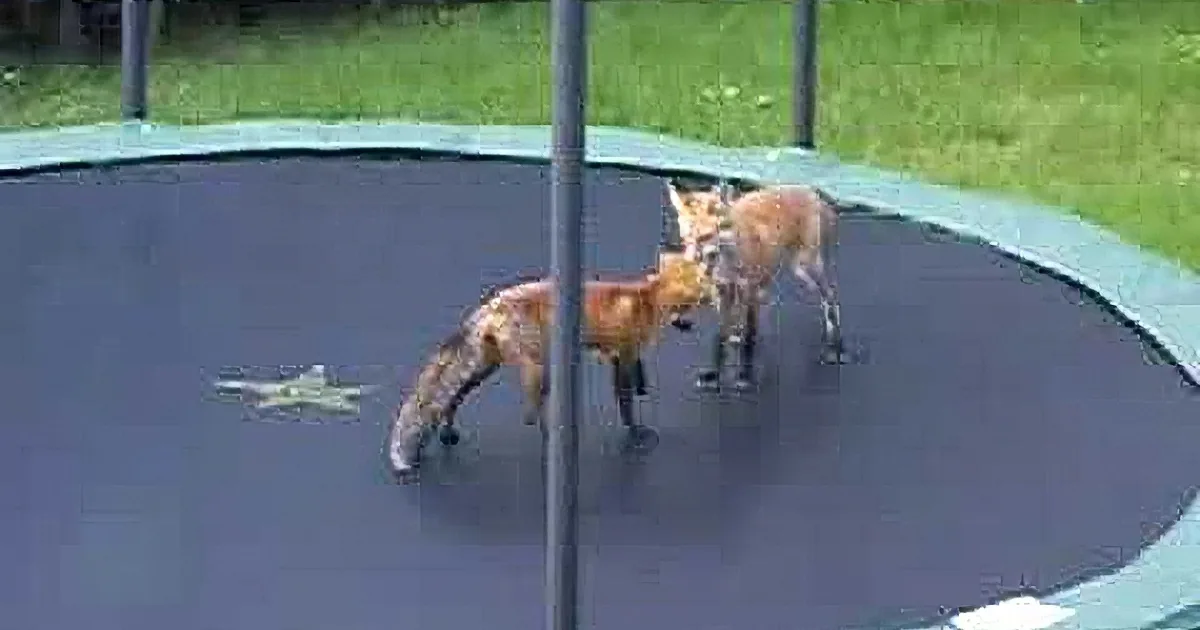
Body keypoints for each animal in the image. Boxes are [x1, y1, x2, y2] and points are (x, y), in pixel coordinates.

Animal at [384, 248, 710, 483]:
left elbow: (639, 380)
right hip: (539, 369)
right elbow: (626, 402)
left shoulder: (626, 356)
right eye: (696, 297)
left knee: (453, 398)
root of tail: (491, 305)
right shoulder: (623, 355)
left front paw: (643, 390)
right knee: (531, 411)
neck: (646, 303)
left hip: (486, 367)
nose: (711, 295)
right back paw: (553, 436)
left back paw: (448, 432)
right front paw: (635, 433)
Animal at [665, 179, 850, 392]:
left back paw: (837, 346)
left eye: (705, 236)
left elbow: (749, 338)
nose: (692, 261)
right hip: (788, 271)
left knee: (830, 298)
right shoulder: (724, 292)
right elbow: (719, 338)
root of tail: (812, 191)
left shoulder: (749, 291)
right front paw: (715, 375)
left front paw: (745, 376)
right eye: (686, 236)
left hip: (805, 266)